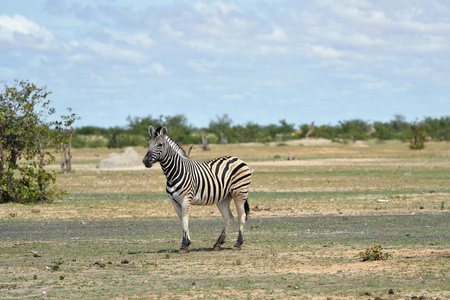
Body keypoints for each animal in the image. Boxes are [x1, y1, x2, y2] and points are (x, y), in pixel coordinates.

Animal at [142, 125, 251, 254]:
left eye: (160, 145)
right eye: (148, 144)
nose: (146, 161)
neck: (173, 173)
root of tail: (237, 158)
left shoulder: (186, 199)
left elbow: (185, 220)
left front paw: (184, 245)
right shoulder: (174, 202)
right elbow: (182, 221)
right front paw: (187, 242)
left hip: (240, 192)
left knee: (242, 216)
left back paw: (238, 244)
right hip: (224, 198)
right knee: (229, 218)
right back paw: (218, 244)